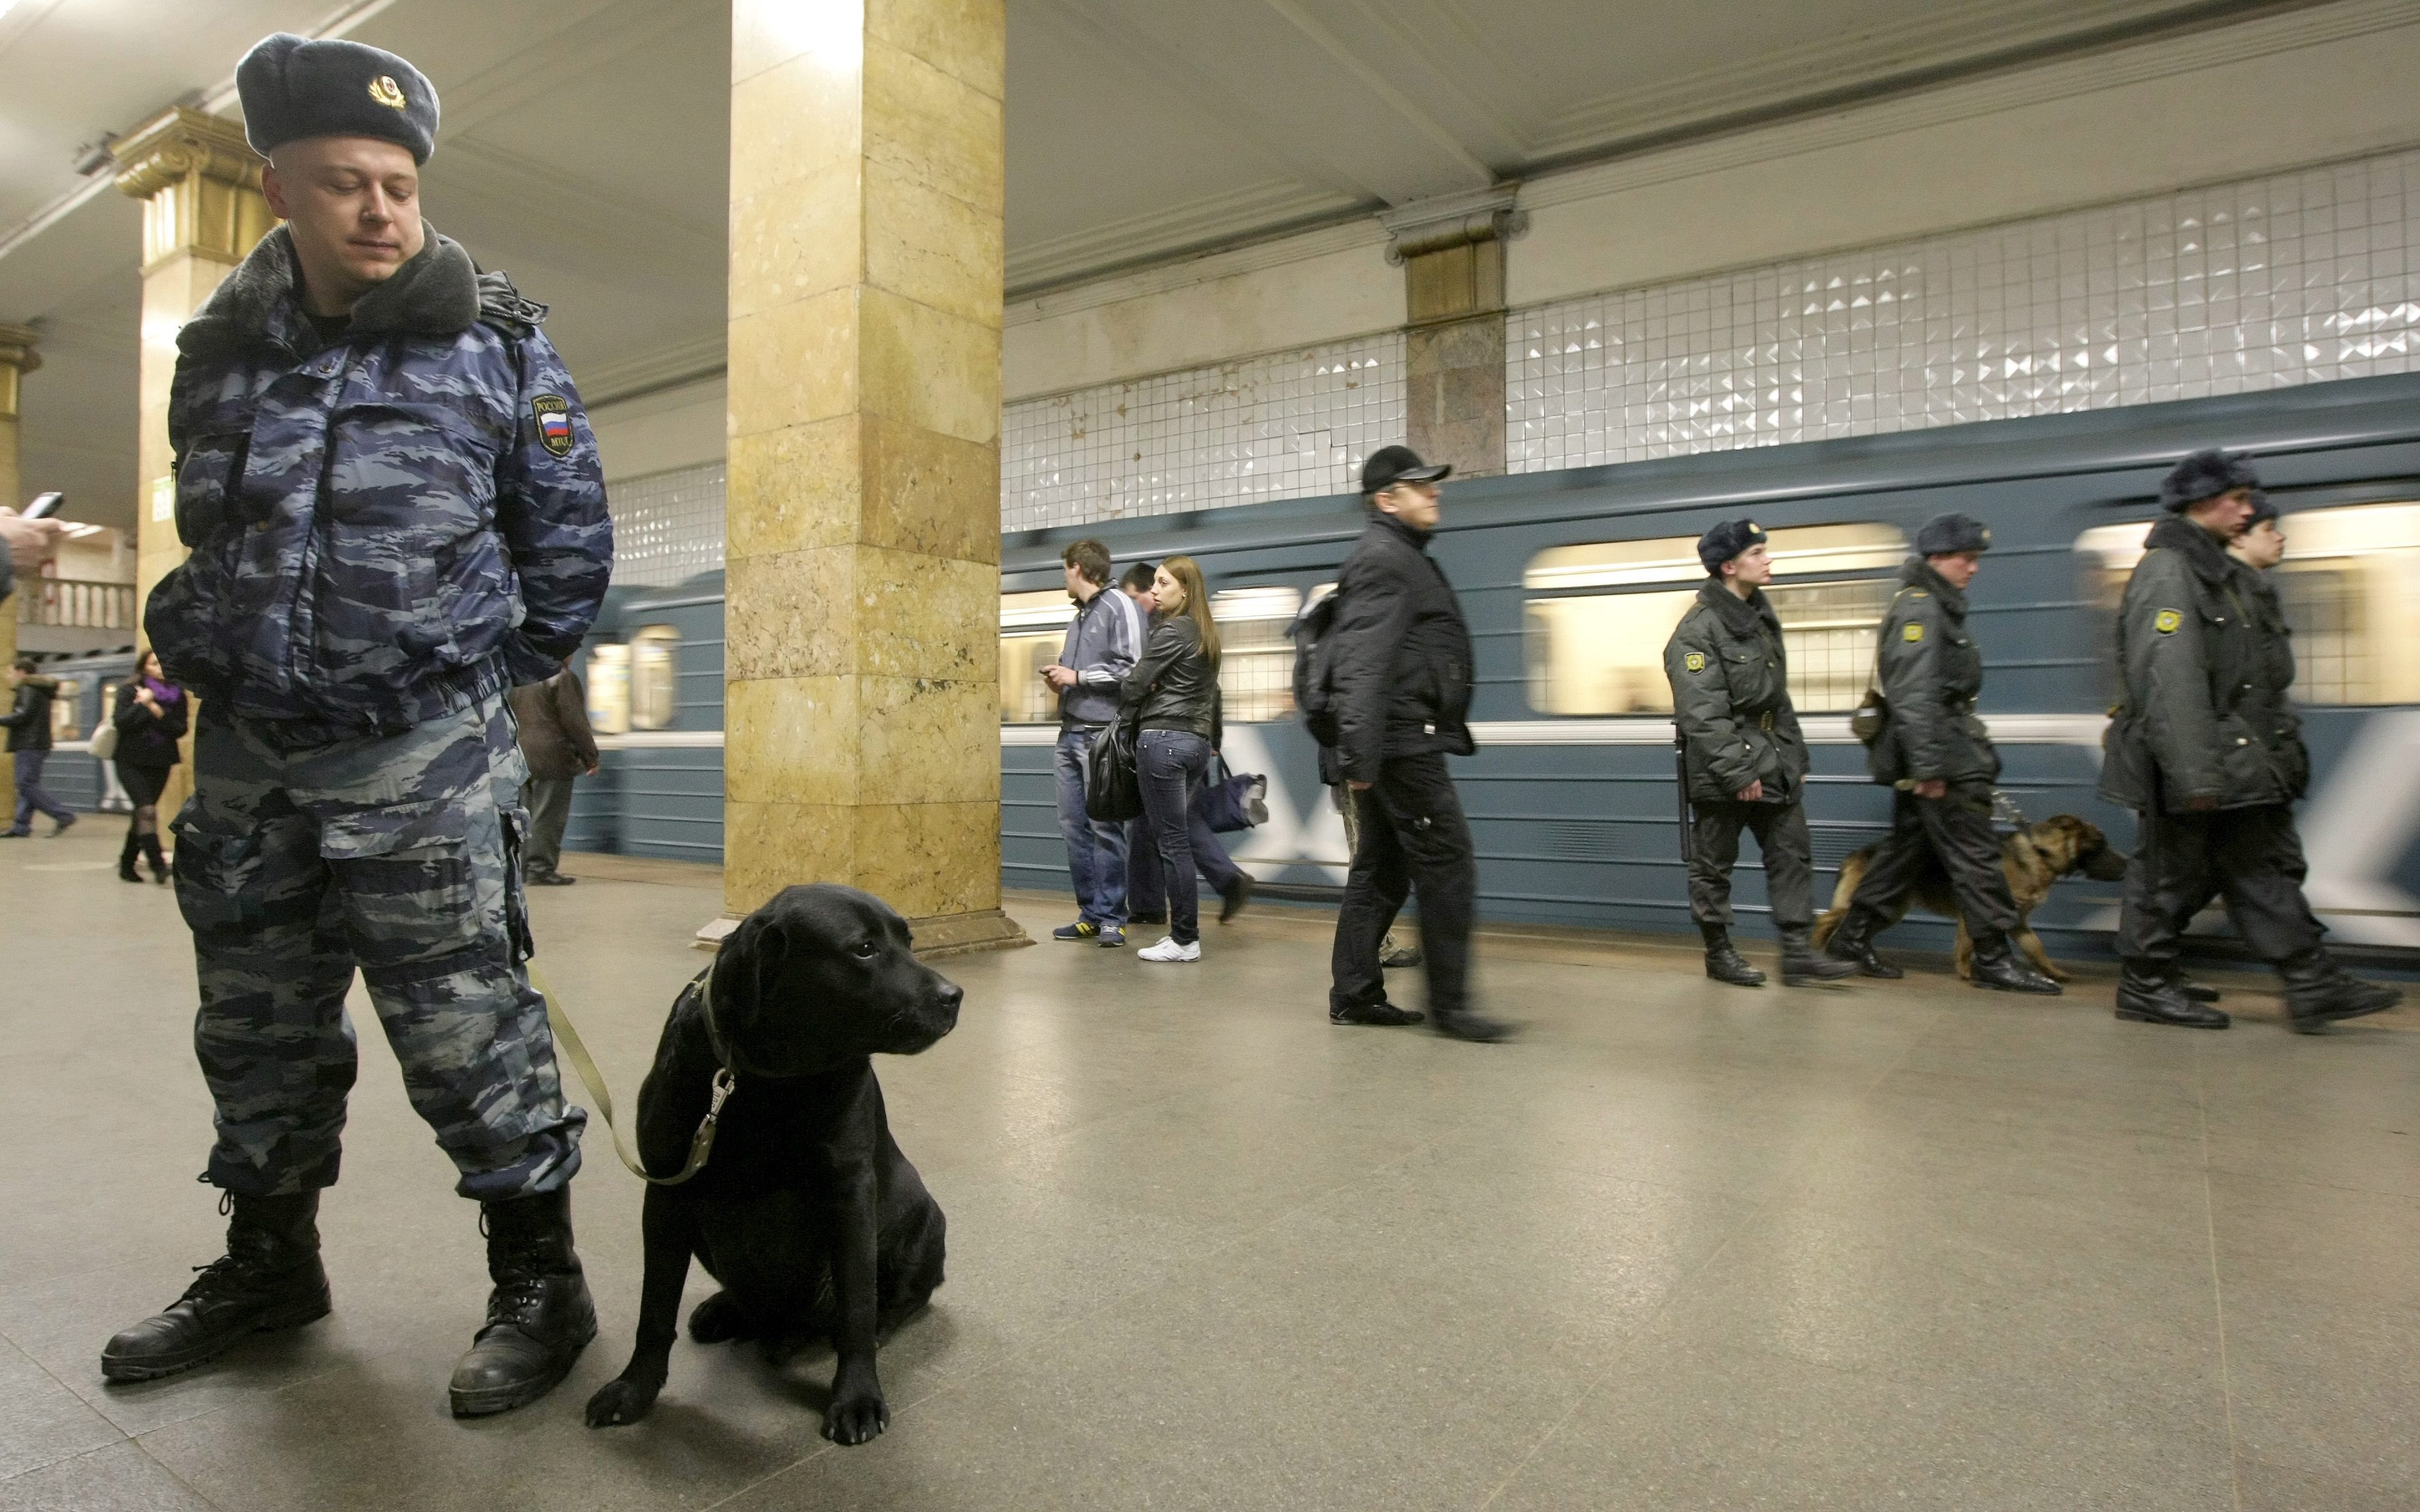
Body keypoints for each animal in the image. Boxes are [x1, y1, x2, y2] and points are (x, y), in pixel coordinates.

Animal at [581, 885, 958, 1442]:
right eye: (864, 949)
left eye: (909, 941)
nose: (955, 996)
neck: (771, 1079)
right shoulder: (667, 1193)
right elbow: (655, 1308)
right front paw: (634, 1389)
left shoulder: (849, 1194)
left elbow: (856, 1307)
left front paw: (857, 1398)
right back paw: (724, 1311)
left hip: (928, 1221)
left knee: (902, 1298)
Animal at [1810, 813, 2129, 977]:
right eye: (2100, 844)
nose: (2129, 863)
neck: (2040, 853)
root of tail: (1859, 852)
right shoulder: (1976, 914)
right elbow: (1965, 946)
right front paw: (1966, 975)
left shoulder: (2017, 922)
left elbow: (2036, 947)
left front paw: (2054, 973)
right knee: (1824, 920)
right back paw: (1816, 950)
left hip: (1889, 909)